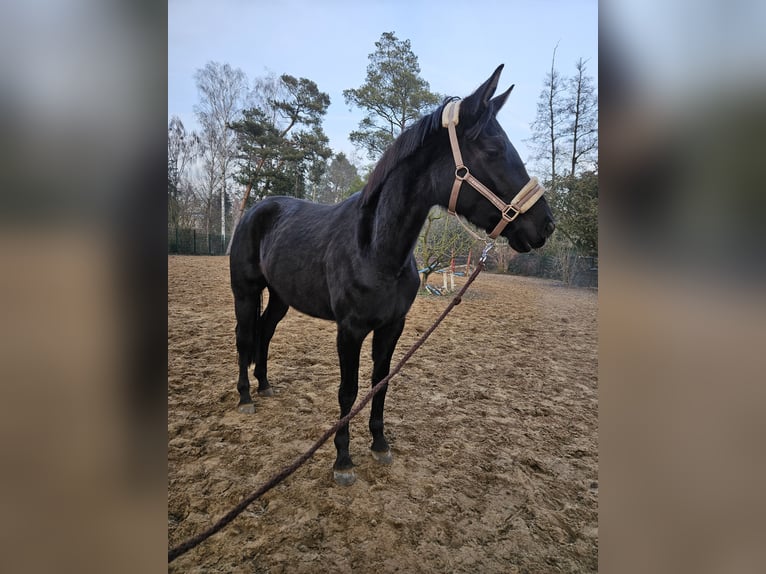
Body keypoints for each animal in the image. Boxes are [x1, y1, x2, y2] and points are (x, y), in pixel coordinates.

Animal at [231, 65, 556, 488]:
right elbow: (348, 391)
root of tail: (256, 210)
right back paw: (245, 398)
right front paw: (343, 461)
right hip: (245, 293)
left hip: (281, 297)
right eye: (494, 150)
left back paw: (266, 386)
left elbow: (379, 384)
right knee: (244, 338)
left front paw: (380, 444)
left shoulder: (392, 326)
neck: (374, 247)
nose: (545, 225)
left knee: (266, 332)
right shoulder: (350, 330)